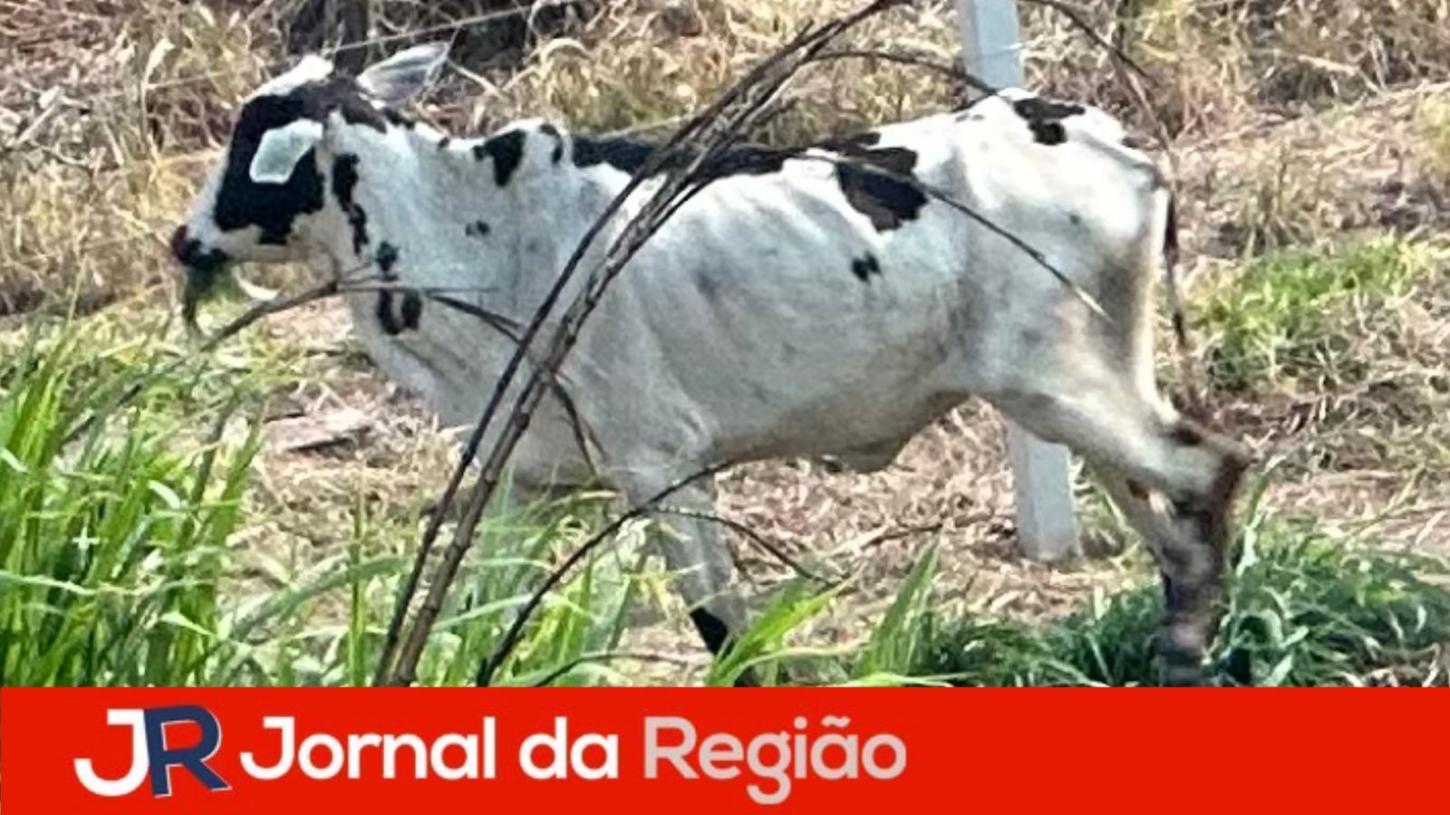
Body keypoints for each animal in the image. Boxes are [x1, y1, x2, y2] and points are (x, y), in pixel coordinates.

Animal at [171, 42, 1251, 684]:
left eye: (252, 153)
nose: (186, 240)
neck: (483, 230)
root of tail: (1120, 143)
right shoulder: (523, 479)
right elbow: (474, 615)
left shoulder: (662, 467)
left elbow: (726, 637)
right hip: (1091, 385)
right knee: (1167, 512)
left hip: (1052, 384)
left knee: (1211, 469)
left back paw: (1186, 655)